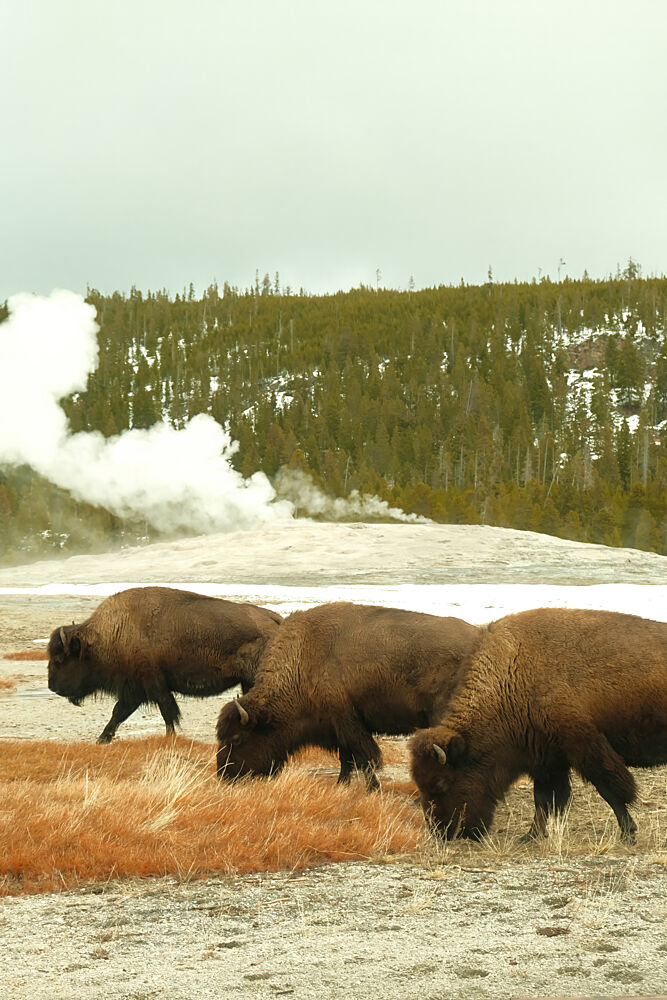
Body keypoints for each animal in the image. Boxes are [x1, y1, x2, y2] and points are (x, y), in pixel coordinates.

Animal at [47, 586, 282, 743]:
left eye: (60, 659)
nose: (52, 686)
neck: (111, 634)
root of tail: (274, 619)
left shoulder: (152, 684)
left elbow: (166, 711)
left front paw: (170, 736)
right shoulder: (134, 690)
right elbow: (119, 713)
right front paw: (102, 739)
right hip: (247, 681)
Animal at [216, 601, 483, 789]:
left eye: (236, 738)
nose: (224, 774)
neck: (305, 658)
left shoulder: (348, 722)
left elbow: (366, 758)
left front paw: (373, 789)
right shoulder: (338, 727)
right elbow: (347, 759)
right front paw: (342, 785)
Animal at [410, 607, 667, 842]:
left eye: (441, 784)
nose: (442, 832)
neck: (511, 675)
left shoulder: (585, 748)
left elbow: (611, 791)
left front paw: (628, 833)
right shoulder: (546, 759)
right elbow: (543, 799)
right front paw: (531, 835)